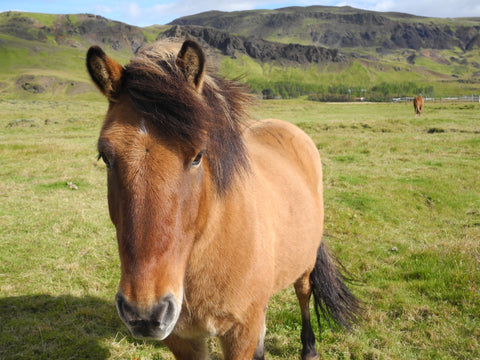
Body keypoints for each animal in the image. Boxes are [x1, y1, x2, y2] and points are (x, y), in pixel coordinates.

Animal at [86, 39, 360, 360]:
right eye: (105, 157)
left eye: (197, 156)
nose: (144, 313)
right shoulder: (183, 339)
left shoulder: (239, 333)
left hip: (304, 263)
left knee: (303, 292)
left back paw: (309, 348)